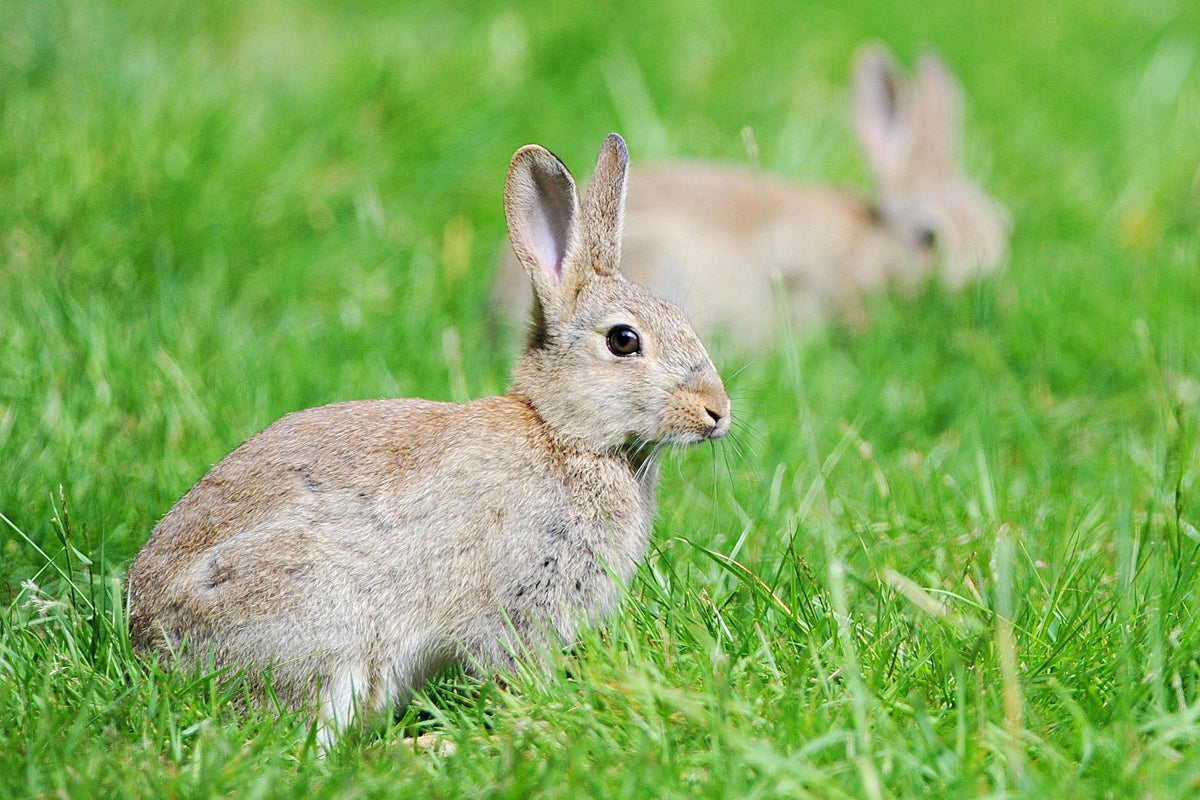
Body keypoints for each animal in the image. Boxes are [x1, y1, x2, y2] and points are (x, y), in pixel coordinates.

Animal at [125, 133, 731, 750]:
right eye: (623, 340)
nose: (718, 411)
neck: (562, 434)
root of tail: (149, 645)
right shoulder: (517, 597)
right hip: (321, 627)